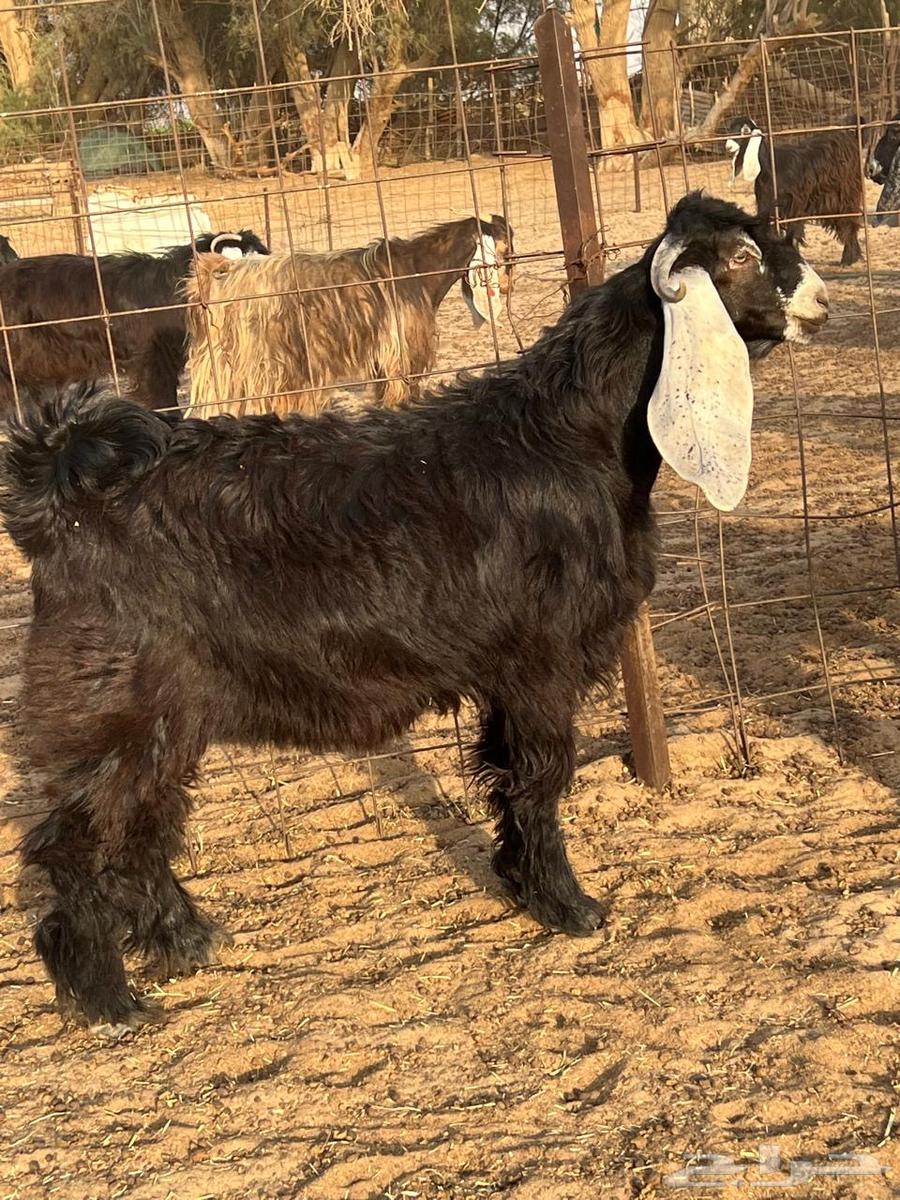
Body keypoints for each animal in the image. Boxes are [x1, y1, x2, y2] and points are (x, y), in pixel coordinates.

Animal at [184, 215, 513, 416]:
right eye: (506, 247)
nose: (507, 285)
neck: (418, 269)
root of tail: (223, 275)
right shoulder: (401, 356)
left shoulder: (382, 362)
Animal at [725, 115, 867, 265]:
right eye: (729, 129)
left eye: (745, 131)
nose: (728, 146)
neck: (770, 167)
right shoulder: (768, 206)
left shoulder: (795, 205)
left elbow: (794, 235)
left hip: (846, 193)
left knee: (849, 221)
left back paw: (848, 259)